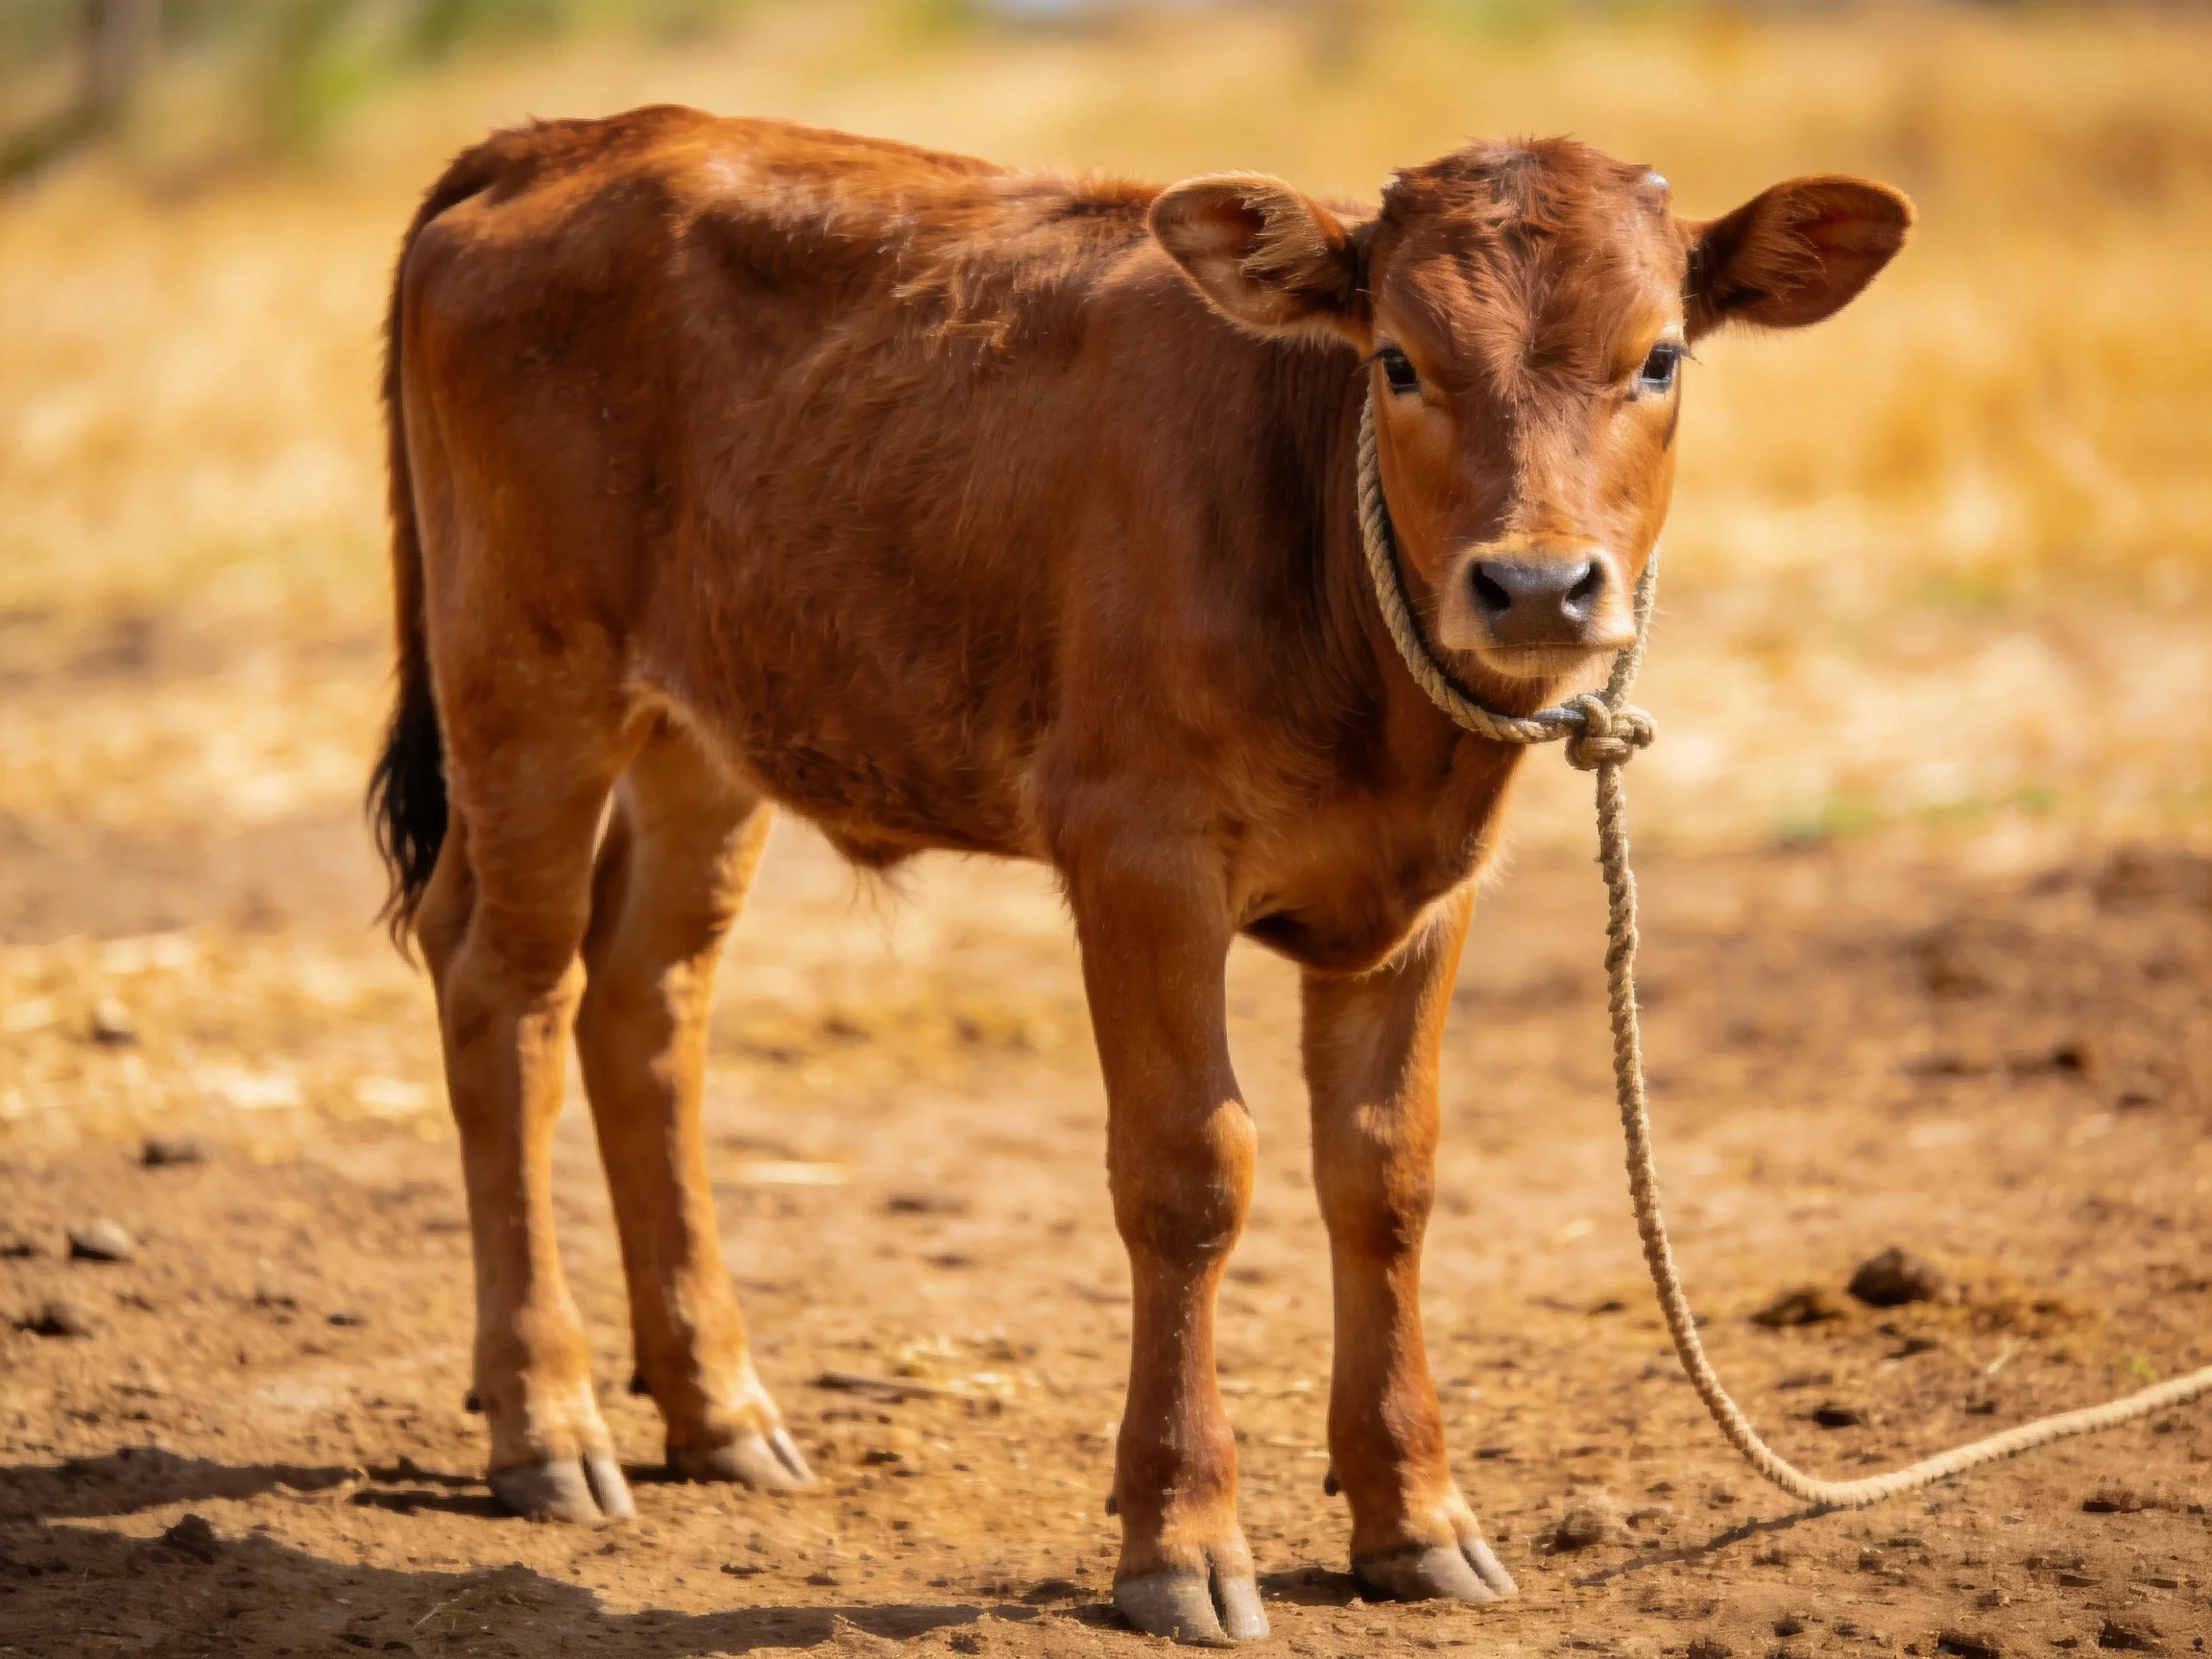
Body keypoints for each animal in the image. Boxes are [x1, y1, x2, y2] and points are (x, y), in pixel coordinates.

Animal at [369, 107, 1909, 1644]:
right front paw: (1181, 1539)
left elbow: (1386, 1176)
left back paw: (717, 1410)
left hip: (706, 733)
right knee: (509, 993)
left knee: (648, 1000)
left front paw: (1417, 1521)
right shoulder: (1136, 856)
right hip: (526, 686)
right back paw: (545, 1423)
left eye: (1660, 357)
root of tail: (574, 136)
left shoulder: (1431, 894)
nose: (1536, 588)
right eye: (1400, 360)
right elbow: (1190, 1177)